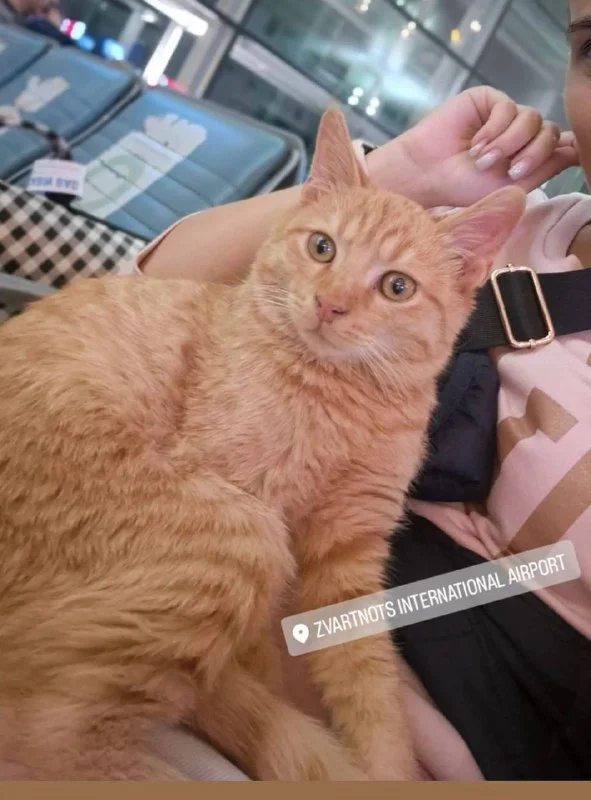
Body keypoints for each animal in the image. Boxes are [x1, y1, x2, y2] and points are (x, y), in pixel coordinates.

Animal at [0, 108, 525, 781]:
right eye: (323, 247)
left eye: (397, 287)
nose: (331, 304)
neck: (341, 398)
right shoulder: (250, 490)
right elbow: (256, 658)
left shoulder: (350, 551)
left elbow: (368, 680)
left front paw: (384, 764)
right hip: (234, 532)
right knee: (43, 735)